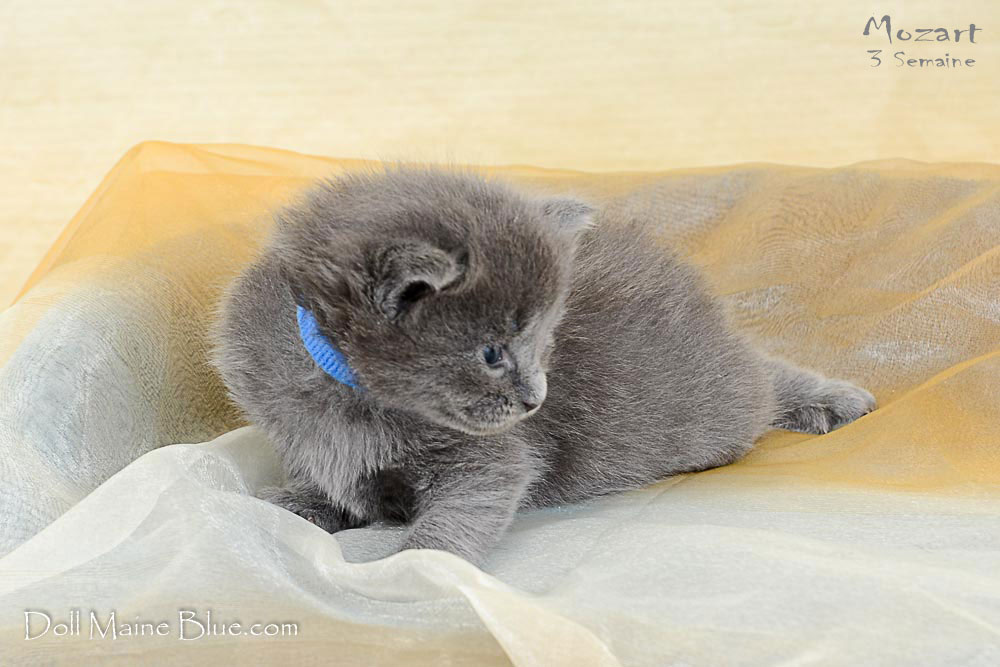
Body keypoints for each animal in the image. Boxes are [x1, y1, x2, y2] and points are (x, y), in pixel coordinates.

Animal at [212, 166, 876, 565]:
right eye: (492, 352)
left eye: (541, 340)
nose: (536, 399)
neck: (350, 394)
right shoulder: (299, 432)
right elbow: (327, 479)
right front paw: (294, 504)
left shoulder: (493, 457)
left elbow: (465, 510)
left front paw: (410, 567)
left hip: (714, 406)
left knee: (761, 379)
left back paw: (833, 401)